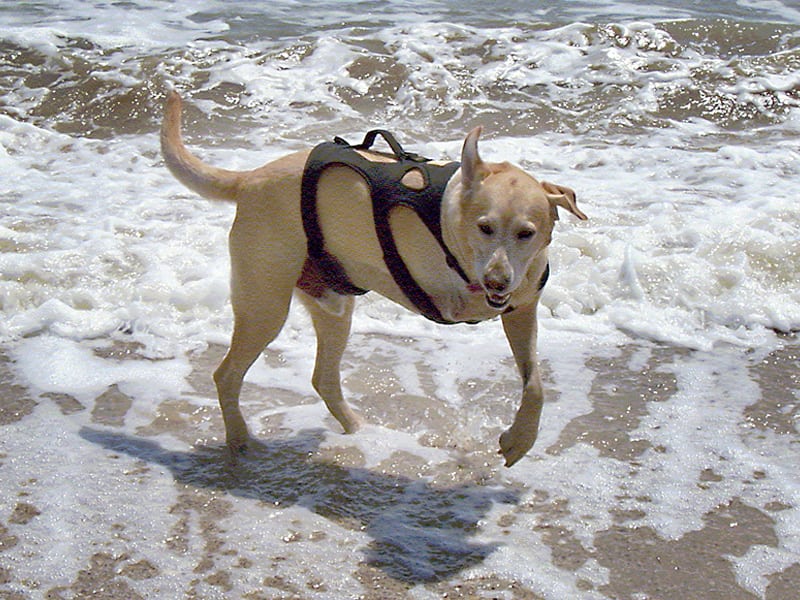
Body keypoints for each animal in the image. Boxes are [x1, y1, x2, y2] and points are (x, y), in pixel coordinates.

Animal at [161, 91, 588, 466]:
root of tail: (249, 179)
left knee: (323, 378)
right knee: (226, 375)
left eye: (526, 233)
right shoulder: (460, 297)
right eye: (485, 228)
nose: (497, 281)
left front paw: (520, 439)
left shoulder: (521, 310)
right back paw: (240, 440)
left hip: (333, 310)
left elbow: (535, 384)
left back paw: (358, 428)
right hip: (264, 308)